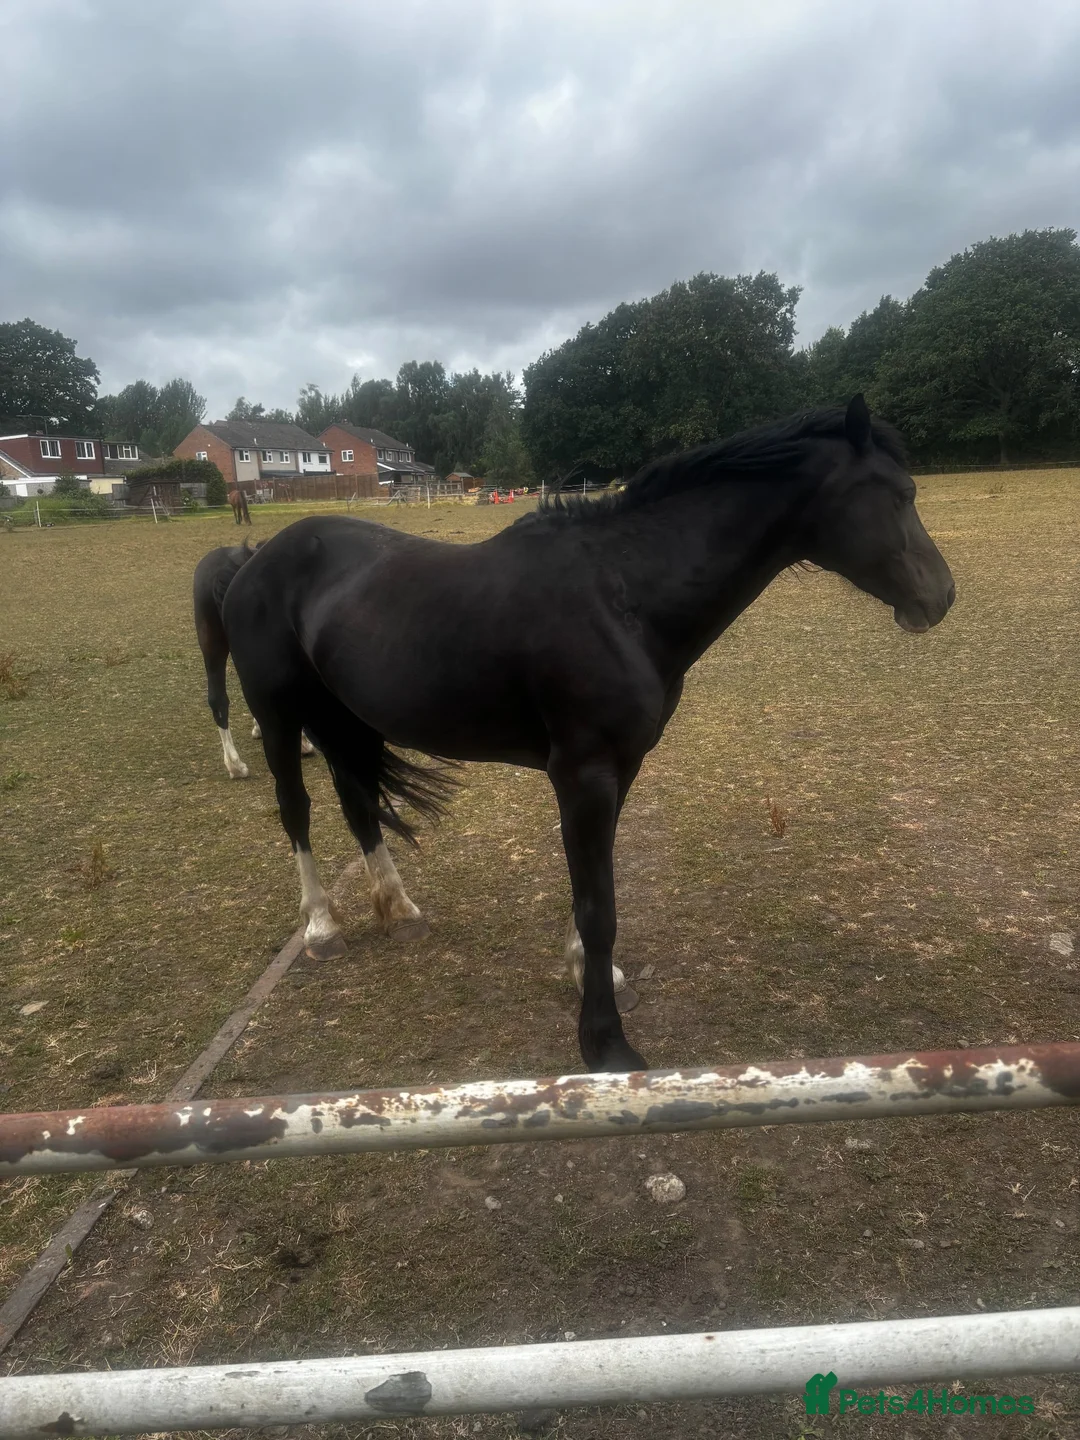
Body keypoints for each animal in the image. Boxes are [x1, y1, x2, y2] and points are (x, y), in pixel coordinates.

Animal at [221, 396, 955, 1073]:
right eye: (899, 494)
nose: (941, 597)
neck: (621, 594)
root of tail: (257, 558)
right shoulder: (586, 773)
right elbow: (600, 905)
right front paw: (605, 1041)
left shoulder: (620, 767)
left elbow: (590, 894)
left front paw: (586, 973)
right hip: (281, 716)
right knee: (297, 809)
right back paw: (322, 925)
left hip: (345, 716)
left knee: (358, 802)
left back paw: (398, 909)